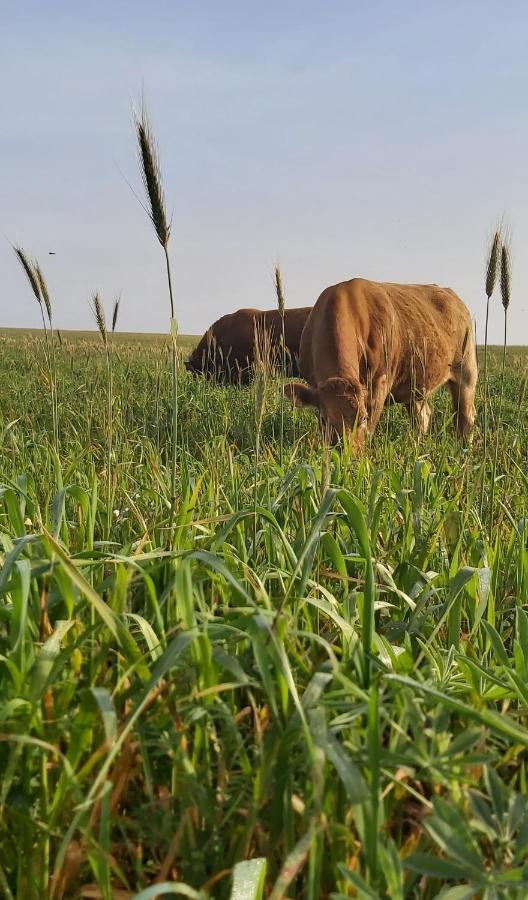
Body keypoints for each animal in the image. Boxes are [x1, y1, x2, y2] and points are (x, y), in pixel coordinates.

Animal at [286, 274, 476, 442]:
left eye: (363, 418)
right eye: (324, 420)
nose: (347, 453)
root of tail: (451, 295)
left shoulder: (379, 385)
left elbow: (369, 431)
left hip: (466, 372)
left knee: (465, 417)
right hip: (414, 385)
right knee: (422, 418)